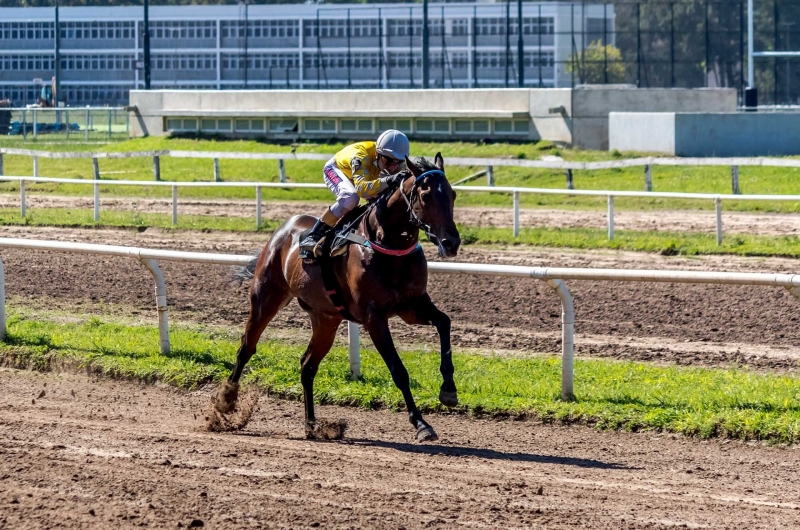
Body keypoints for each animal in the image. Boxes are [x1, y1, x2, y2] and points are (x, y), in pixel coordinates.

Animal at [216, 154, 460, 442]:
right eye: (425, 195)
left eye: (453, 194)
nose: (451, 242)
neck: (388, 245)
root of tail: (282, 231)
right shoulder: (373, 316)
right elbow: (398, 370)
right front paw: (421, 423)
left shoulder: (412, 305)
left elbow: (444, 322)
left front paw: (448, 389)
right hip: (266, 298)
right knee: (246, 348)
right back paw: (226, 401)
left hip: (326, 319)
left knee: (307, 366)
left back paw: (312, 425)